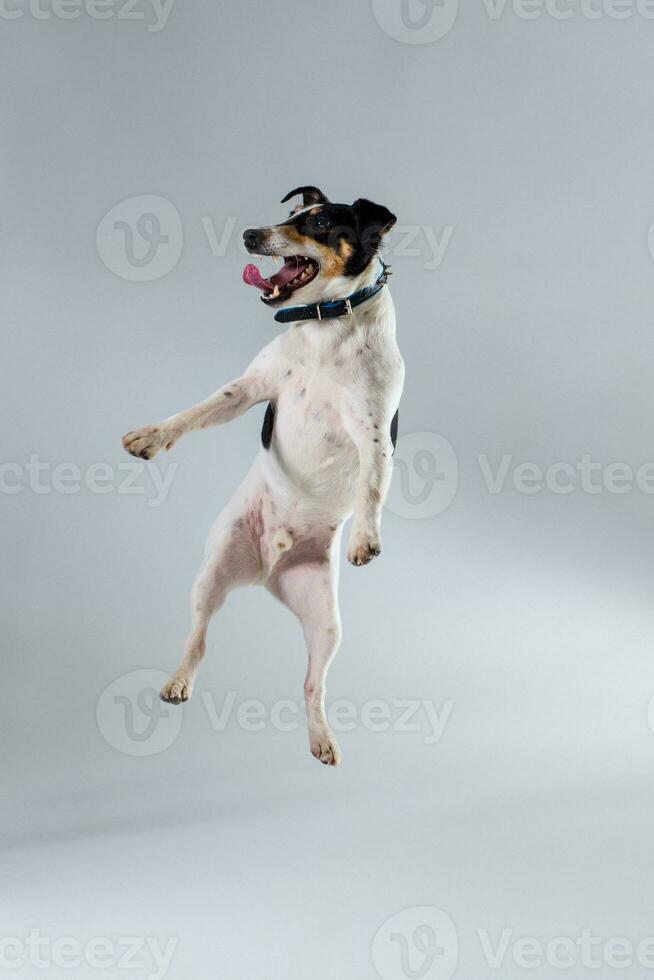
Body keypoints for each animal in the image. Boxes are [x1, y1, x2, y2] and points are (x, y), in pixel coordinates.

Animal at [120, 186, 402, 764]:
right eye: (290, 214)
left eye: (320, 223)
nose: (251, 235)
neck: (325, 326)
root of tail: (267, 571)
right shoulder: (250, 390)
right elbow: (195, 412)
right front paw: (151, 437)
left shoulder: (372, 429)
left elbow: (372, 484)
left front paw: (365, 538)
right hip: (211, 574)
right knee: (198, 640)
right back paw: (178, 682)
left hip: (326, 624)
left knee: (312, 685)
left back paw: (321, 738)